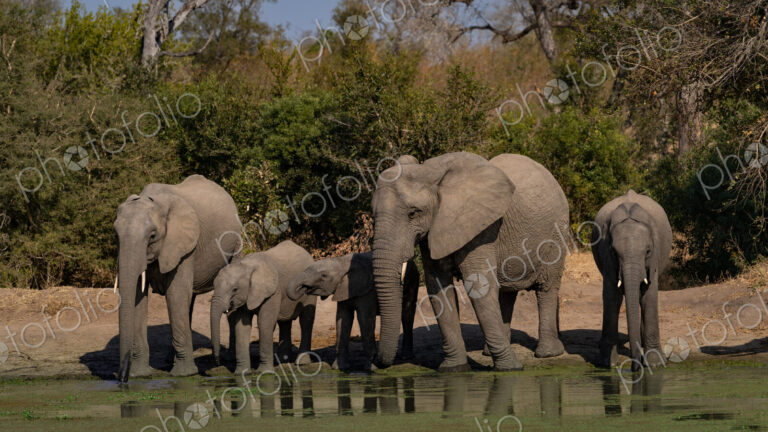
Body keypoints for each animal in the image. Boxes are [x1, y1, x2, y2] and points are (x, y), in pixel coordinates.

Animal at [113, 174, 242, 381]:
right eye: (116, 236)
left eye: (152, 236)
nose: (122, 378)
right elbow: (138, 298)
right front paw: (139, 375)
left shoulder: (184, 245)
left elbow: (175, 295)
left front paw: (183, 375)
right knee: (189, 302)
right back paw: (169, 360)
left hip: (236, 242)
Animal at [210, 240, 317, 375]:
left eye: (235, 289)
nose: (217, 362)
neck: (247, 266)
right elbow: (242, 327)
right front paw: (241, 373)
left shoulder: (273, 292)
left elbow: (265, 323)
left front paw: (264, 372)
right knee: (284, 322)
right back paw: (282, 359)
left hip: (310, 291)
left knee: (306, 321)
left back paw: (302, 363)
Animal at [285, 252, 420, 371]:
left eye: (324, 276)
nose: (303, 289)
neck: (342, 262)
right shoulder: (343, 289)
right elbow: (342, 319)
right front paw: (339, 368)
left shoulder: (367, 291)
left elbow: (364, 319)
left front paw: (371, 368)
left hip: (413, 280)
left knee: (407, 315)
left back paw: (406, 357)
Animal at [371, 152, 570, 371]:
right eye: (373, 216)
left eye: (413, 213)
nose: (377, 363)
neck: (431, 173)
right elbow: (438, 288)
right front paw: (454, 368)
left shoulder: (482, 228)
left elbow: (478, 286)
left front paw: (510, 368)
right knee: (506, 291)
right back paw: (488, 351)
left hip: (556, 234)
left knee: (546, 287)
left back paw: (548, 353)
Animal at [591, 190, 672, 370]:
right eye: (614, 252)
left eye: (648, 251)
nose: (635, 367)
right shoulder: (606, 255)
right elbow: (611, 296)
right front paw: (607, 363)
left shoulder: (654, 256)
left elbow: (649, 296)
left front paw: (654, 363)